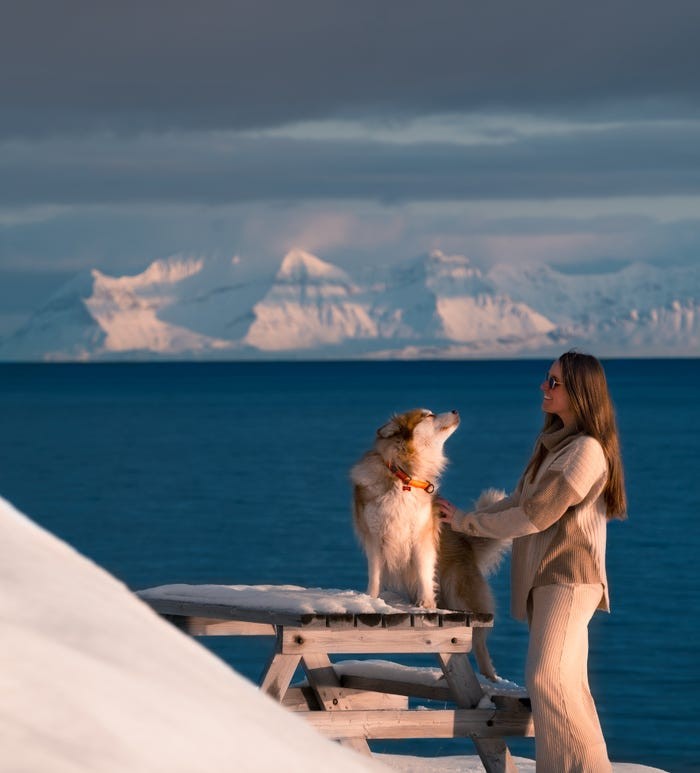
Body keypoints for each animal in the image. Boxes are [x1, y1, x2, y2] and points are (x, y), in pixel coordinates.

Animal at [350, 408, 508, 680]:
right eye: (428, 415)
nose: (455, 409)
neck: (404, 477)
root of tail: (466, 542)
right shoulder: (375, 539)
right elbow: (375, 575)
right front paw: (371, 600)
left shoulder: (421, 539)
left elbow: (424, 572)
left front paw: (425, 604)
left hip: (459, 591)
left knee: (478, 642)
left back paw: (490, 678)